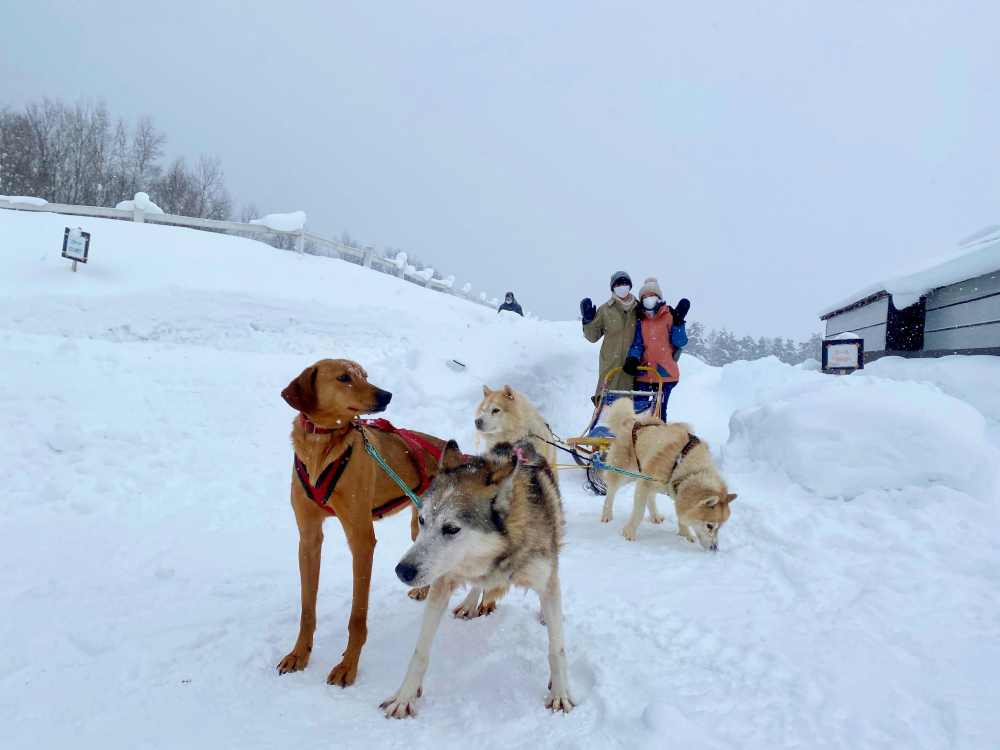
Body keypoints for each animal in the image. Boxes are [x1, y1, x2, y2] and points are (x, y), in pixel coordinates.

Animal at [274, 362, 446, 692]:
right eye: (344, 377)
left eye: (365, 375)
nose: (386, 394)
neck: (321, 448)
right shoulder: (309, 538)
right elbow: (307, 609)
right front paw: (299, 653)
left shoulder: (362, 539)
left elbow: (357, 616)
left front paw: (347, 666)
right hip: (421, 529)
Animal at [600, 400, 736, 552]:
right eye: (709, 526)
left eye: (720, 528)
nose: (714, 548)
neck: (689, 467)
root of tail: (633, 420)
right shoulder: (645, 483)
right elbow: (639, 512)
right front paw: (629, 533)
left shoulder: (674, 490)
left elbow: (681, 516)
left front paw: (686, 535)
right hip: (623, 473)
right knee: (611, 492)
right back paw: (607, 515)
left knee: (650, 497)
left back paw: (655, 516)